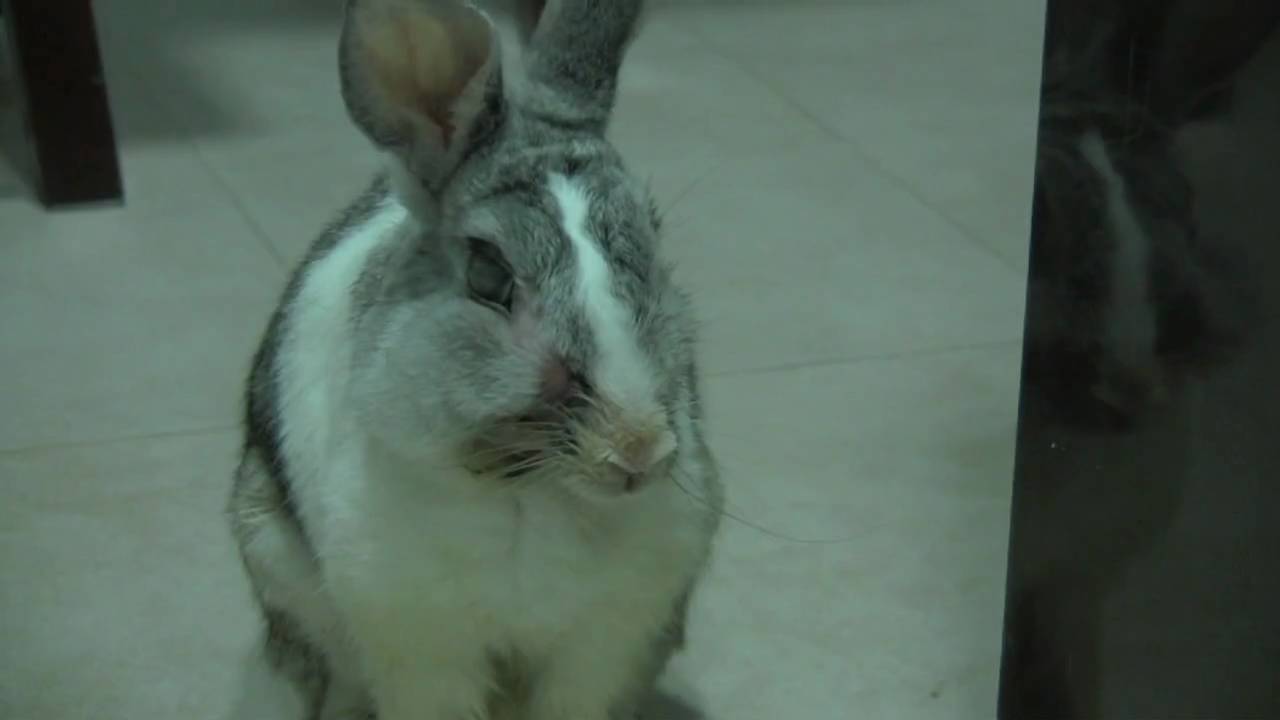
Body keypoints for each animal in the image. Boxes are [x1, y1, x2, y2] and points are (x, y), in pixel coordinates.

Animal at [226, 1, 724, 718]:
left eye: (653, 243)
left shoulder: (605, 645)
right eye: (489, 276)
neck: (530, 490)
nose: (639, 451)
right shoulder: (419, 642)